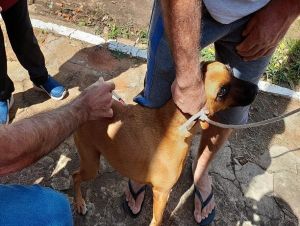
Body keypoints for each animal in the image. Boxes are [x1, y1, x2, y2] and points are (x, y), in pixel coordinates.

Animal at [72, 61, 258, 225]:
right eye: (222, 91)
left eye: (230, 69)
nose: (255, 89)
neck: (174, 126)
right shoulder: (161, 192)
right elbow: (157, 220)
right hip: (91, 165)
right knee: (75, 176)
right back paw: (79, 203)